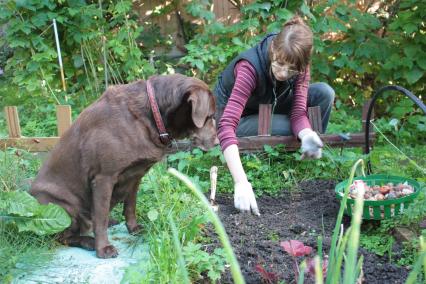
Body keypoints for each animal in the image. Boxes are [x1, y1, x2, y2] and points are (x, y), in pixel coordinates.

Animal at [30, 74, 218, 258]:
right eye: (209, 117)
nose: (217, 142)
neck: (150, 114)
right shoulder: (103, 178)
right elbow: (100, 219)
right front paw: (103, 248)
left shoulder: (135, 176)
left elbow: (130, 206)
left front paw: (133, 228)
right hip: (63, 207)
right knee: (63, 236)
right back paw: (89, 241)